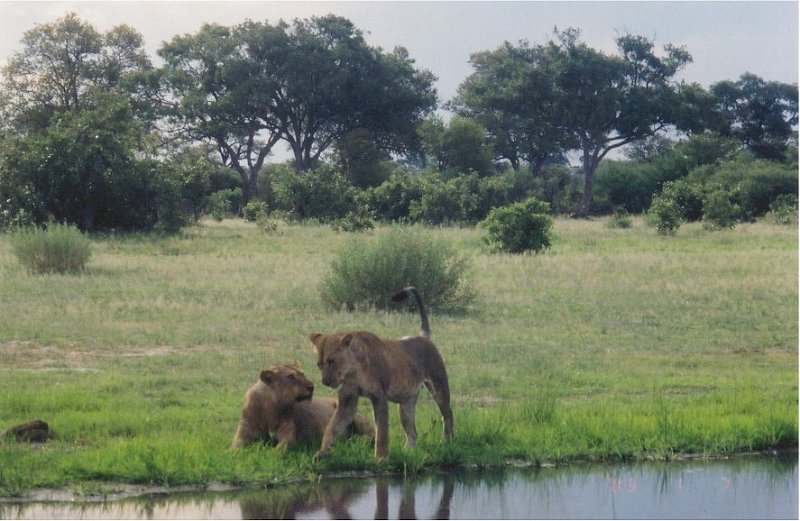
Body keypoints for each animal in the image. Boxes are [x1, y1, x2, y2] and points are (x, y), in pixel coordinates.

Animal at [231, 362, 373, 450]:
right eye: (291, 377)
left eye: (302, 374)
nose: (312, 386)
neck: (270, 405)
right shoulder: (245, 428)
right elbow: (235, 446)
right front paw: (232, 454)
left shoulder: (288, 432)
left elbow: (278, 450)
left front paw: (269, 455)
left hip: (356, 417)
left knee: (372, 434)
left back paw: (357, 440)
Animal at [310, 286, 453, 460]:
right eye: (319, 364)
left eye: (331, 361)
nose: (324, 382)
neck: (353, 372)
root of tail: (423, 336)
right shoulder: (347, 401)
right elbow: (332, 427)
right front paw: (322, 452)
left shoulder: (379, 397)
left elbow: (382, 432)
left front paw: (381, 458)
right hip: (406, 402)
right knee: (412, 432)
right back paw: (409, 452)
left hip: (439, 387)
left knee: (448, 414)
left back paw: (447, 442)